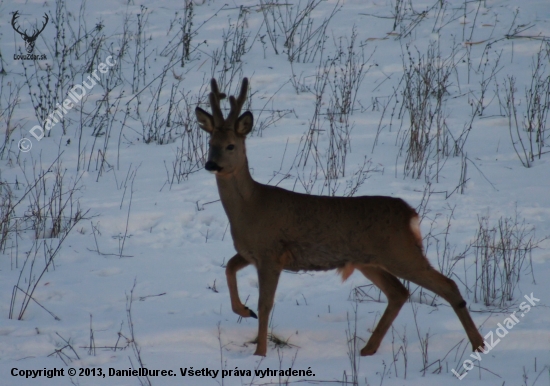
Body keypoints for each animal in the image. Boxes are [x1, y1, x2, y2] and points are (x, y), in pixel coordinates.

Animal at [196, 77, 486, 356]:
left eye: (231, 146)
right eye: (210, 144)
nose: (211, 165)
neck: (250, 208)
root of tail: (410, 215)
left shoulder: (271, 254)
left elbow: (265, 304)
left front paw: (260, 353)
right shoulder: (250, 252)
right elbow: (229, 268)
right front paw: (244, 311)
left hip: (400, 252)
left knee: (447, 285)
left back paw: (478, 345)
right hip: (370, 261)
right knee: (399, 292)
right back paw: (368, 349)